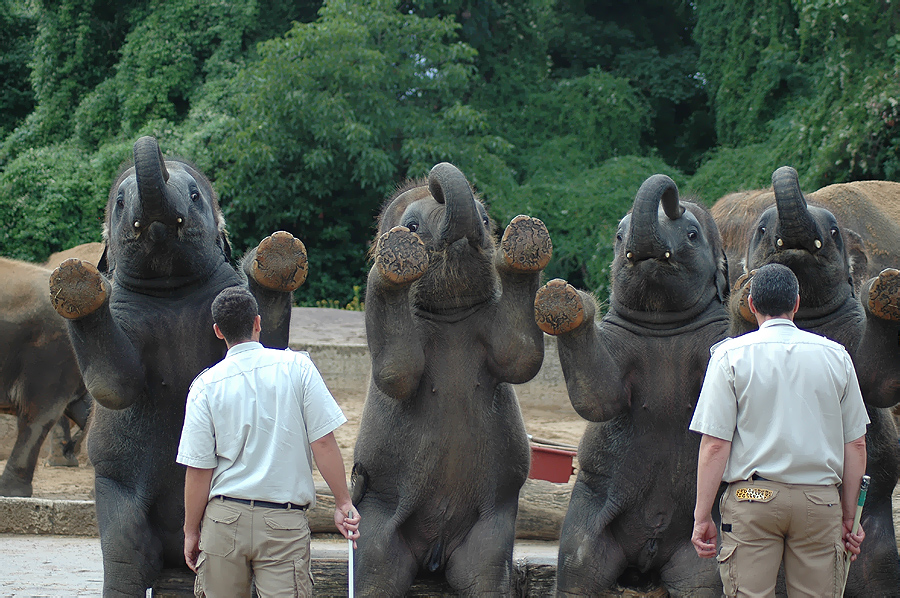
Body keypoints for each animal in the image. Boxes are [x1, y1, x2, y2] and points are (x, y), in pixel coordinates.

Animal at [48, 137, 310, 598]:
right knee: (125, 555)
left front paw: (274, 257)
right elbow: (114, 385)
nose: (151, 142)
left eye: (195, 195)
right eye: (119, 202)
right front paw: (77, 285)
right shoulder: (125, 313)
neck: (171, 289)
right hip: (115, 487)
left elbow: (270, 344)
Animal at [350, 162, 548, 596]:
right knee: (378, 571)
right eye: (410, 225)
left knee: (483, 574)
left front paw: (522, 244)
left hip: (491, 525)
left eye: (487, 219)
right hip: (377, 510)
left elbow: (520, 356)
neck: (450, 314)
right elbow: (397, 373)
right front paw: (393, 261)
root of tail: (434, 554)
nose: (434, 179)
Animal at [536, 171, 732, 596]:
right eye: (617, 236)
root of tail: (644, 569)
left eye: (692, 234)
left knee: (704, 581)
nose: (673, 194)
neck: (664, 324)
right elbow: (599, 398)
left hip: (706, 531)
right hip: (587, 510)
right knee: (579, 568)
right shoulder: (617, 342)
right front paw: (565, 299)